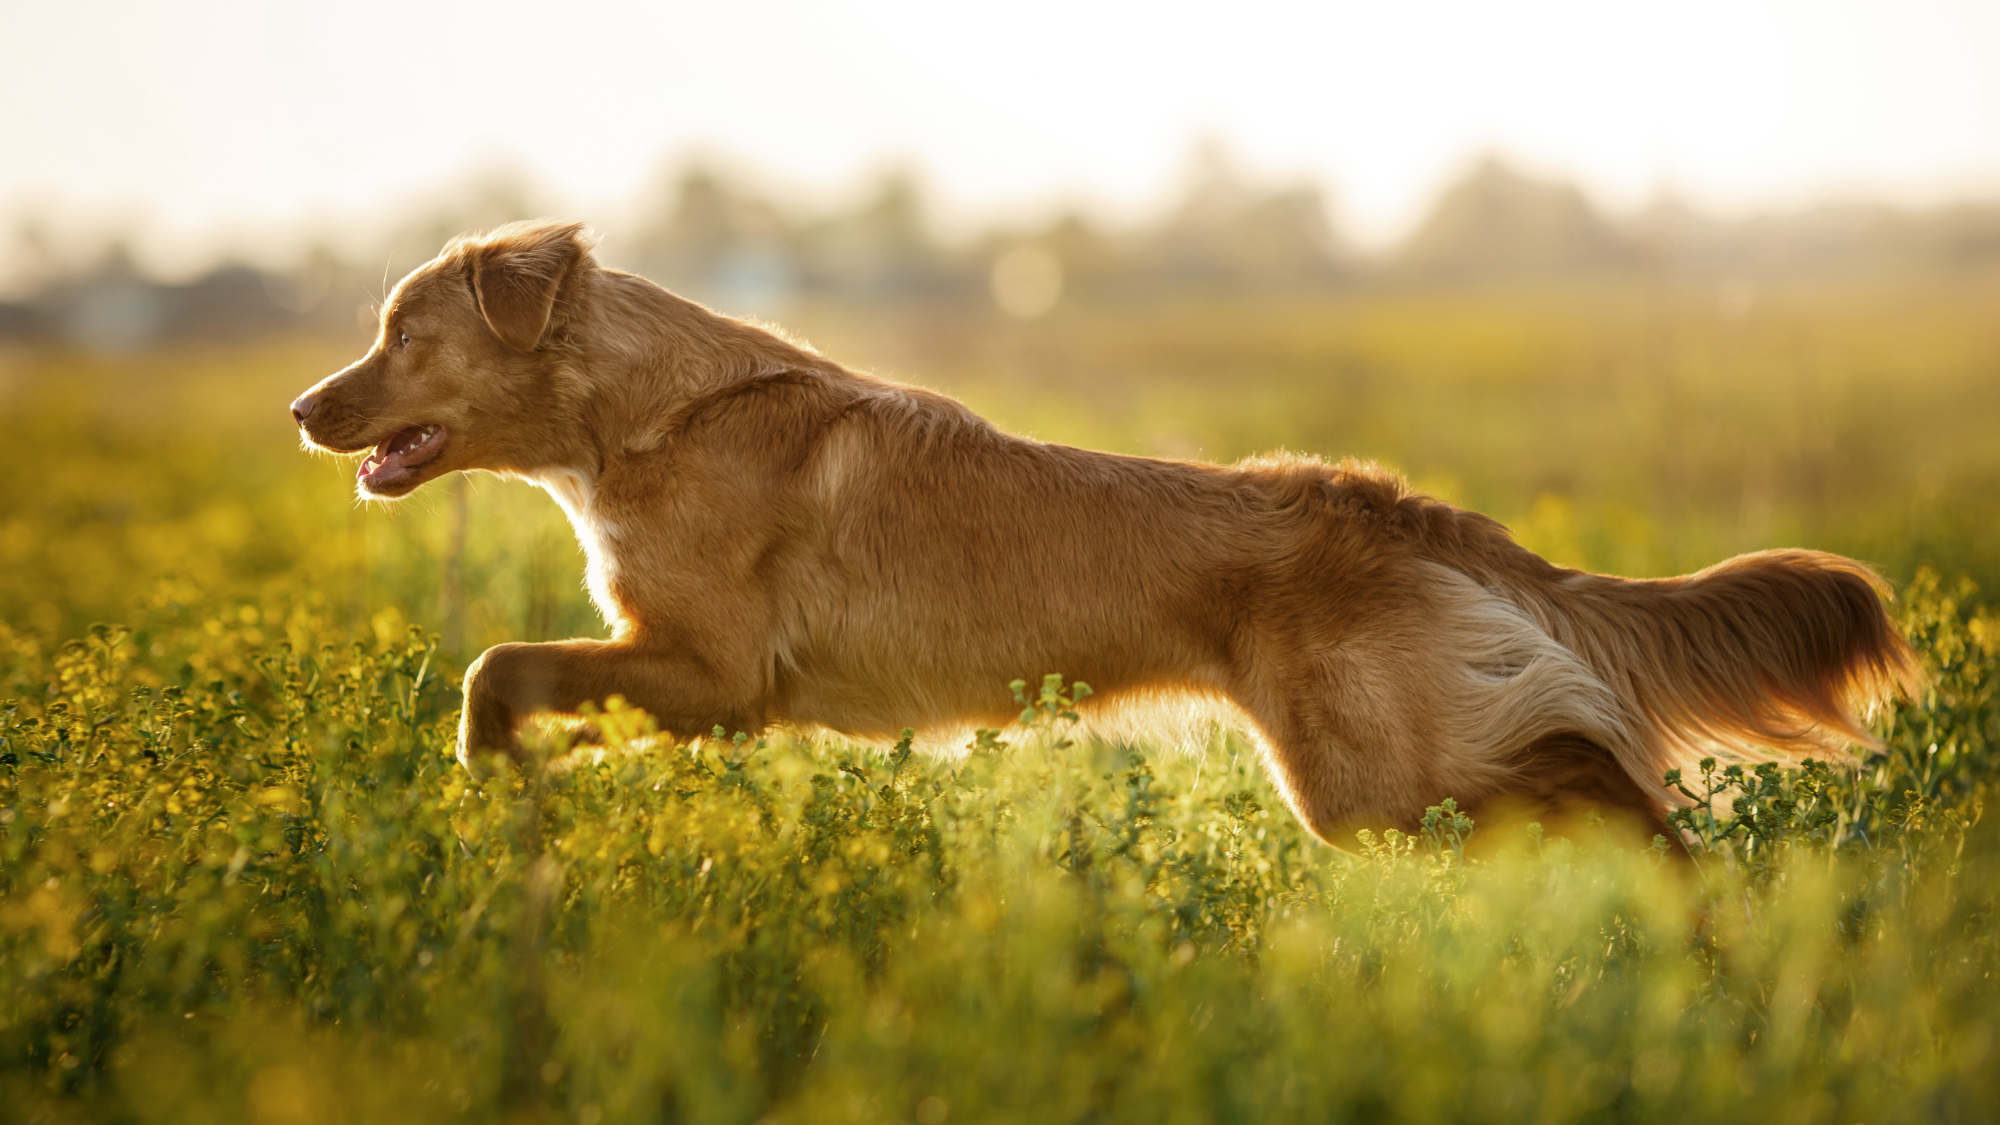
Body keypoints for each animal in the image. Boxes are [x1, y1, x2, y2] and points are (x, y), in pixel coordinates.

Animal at [290, 217, 1928, 840]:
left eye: (400, 334)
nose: (305, 408)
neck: (645, 414)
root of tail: (1386, 503)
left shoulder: (713, 672)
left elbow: (494, 666)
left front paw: (473, 780)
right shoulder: (689, 682)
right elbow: (518, 674)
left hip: (1380, 781)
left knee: (1597, 769)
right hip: (1401, 782)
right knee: (1596, 779)